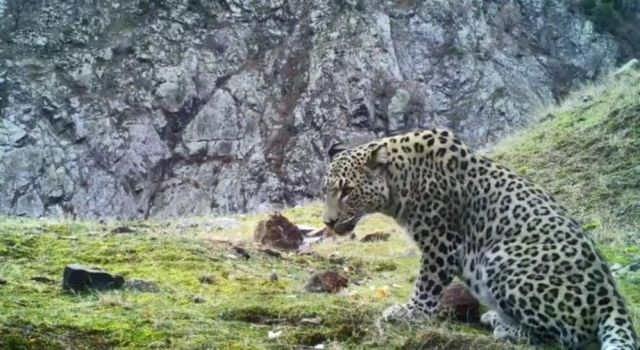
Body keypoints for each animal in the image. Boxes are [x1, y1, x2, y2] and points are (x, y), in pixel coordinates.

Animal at [322, 129, 636, 350]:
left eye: (348, 191)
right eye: (326, 191)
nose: (328, 222)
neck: (401, 180)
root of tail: (614, 299)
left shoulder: (441, 242)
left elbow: (427, 284)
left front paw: (410, 312)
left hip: (502, 261)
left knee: (568, 336)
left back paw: (507, 328)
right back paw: (496, 318)